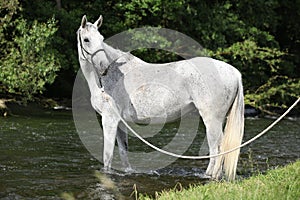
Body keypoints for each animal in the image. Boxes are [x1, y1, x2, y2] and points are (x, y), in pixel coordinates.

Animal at [75, 15, 244, 181]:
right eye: (86, 39)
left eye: (101, 38)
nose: (103, 67)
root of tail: (234, 72)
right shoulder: (120, 122)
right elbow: (123, 153)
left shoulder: (109, 119)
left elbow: (107, 157)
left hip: (212, 120)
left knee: (217, 148)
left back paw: (212, 176)